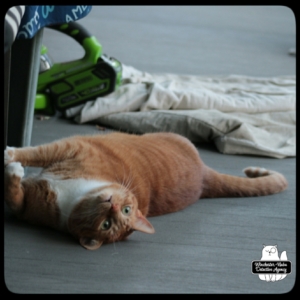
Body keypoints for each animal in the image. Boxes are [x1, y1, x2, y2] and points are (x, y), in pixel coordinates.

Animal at [2, 132, 288, 250]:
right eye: (127, 210)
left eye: (108, 224)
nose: (113, 205)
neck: (74, 196)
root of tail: (204, 175)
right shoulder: (68, 148)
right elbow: (33, 153)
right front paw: (12, 156)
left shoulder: (28, 205)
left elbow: (15, 192)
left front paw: (11, 164)